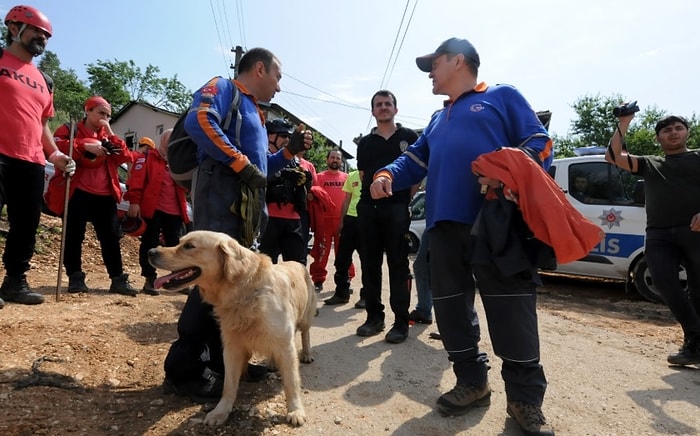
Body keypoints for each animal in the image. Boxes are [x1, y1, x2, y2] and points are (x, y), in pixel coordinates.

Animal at [152, 230, 318, 428]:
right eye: (179, 243)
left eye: (189, 246)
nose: (151, 252)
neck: (243, 291)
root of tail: (296, 262)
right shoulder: (232, 348)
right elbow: (229, 386)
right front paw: (220, 412)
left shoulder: (285, 346)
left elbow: (291, 383)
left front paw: (295, 411)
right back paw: (271, 362)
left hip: (305, 317)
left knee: (306, 333)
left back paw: (306, 354)